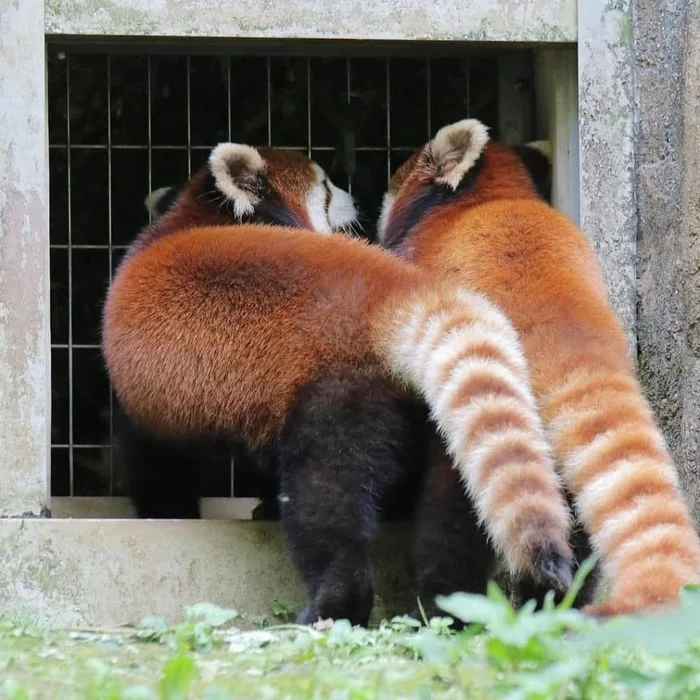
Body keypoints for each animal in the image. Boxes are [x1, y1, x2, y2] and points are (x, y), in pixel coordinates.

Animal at [104, 141, 576, 624]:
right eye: (328, 187)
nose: (356, 199)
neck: (191, 213)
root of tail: (391, 290)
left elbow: (156, 465)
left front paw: (166, 513)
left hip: (339, 396)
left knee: (327, 507)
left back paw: (331, 607)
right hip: (434, 412)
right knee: (450, 511)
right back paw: (448, 606)